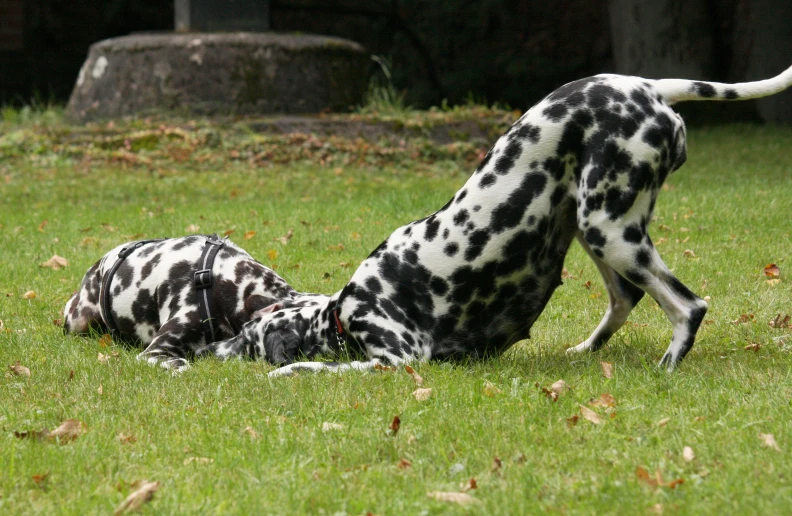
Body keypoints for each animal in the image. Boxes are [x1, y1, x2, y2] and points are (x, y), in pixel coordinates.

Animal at [203, 66, 792, 376]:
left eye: (248, 341)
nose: (208, 350)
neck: (344, 311)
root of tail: (647, 86)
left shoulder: (402, 357)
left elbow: (317, 367)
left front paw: (289, 372)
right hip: (597, 232)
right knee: (626, 300)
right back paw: (583, 352)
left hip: (610, 231)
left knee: (688, 306)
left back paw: (667, 367)